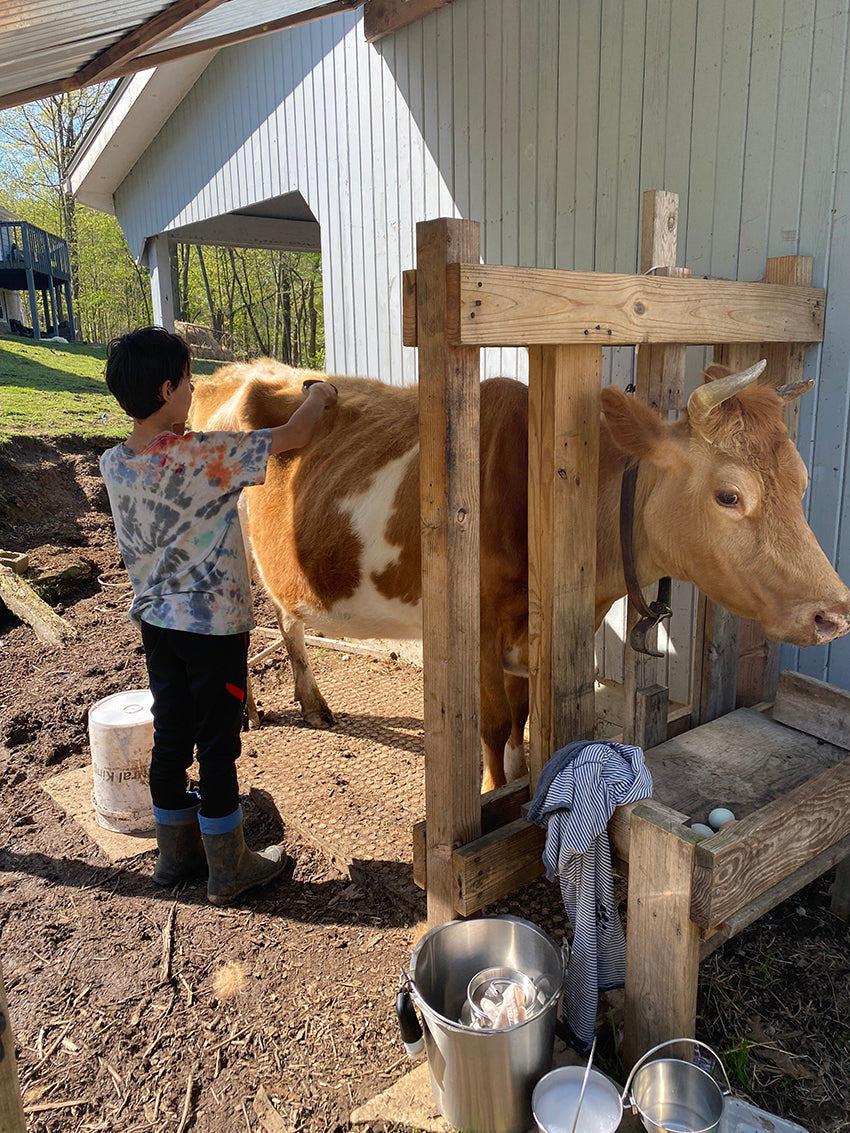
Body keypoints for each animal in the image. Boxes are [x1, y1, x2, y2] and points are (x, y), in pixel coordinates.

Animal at [190, 359, 850, 792]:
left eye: (802, 482)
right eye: (729, 495)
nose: (833, 613)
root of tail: (229, 372)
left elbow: (524, 718)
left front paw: (523, 777)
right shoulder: (478, 629)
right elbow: (495, 723)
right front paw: (490, 793)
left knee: (287, 616)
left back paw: (312, 702)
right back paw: (252, 710)